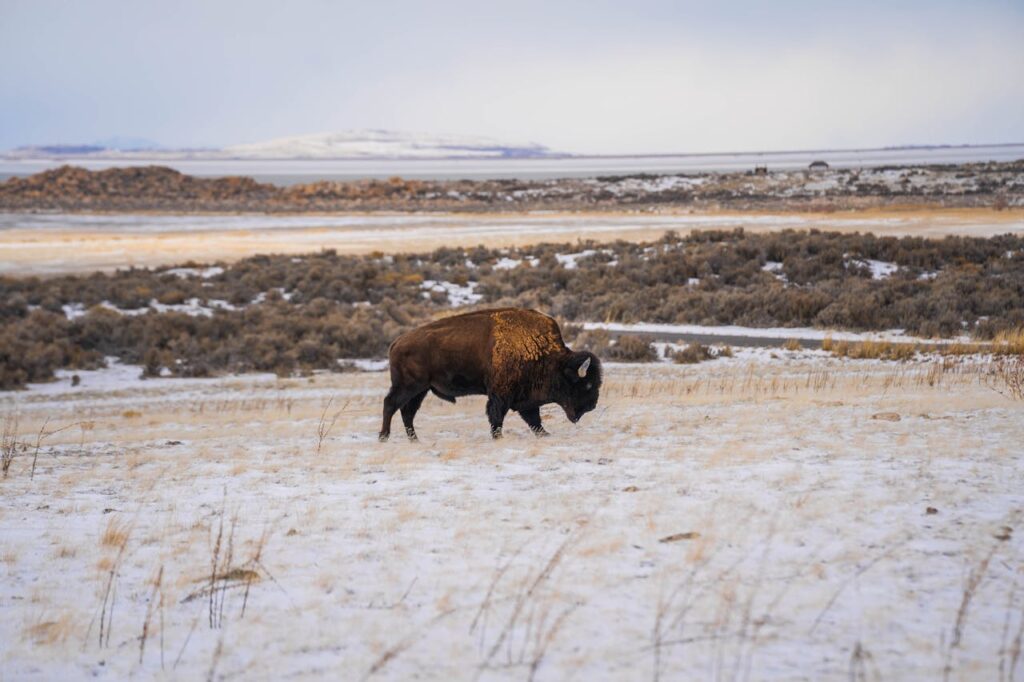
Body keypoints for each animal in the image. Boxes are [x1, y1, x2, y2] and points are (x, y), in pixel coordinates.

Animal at [379, 308, 601, 441]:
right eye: (586, 385)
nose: (590, 407)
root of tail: (396, 343)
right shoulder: (501, 394)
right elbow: (497, 416)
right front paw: (498, 437)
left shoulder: (524, 397)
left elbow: (533, 419)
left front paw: (545, 434)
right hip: (408, 386)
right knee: (391, 404)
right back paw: (384, 437)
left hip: (421, 390)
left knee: (407, 412)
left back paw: (414, 440)